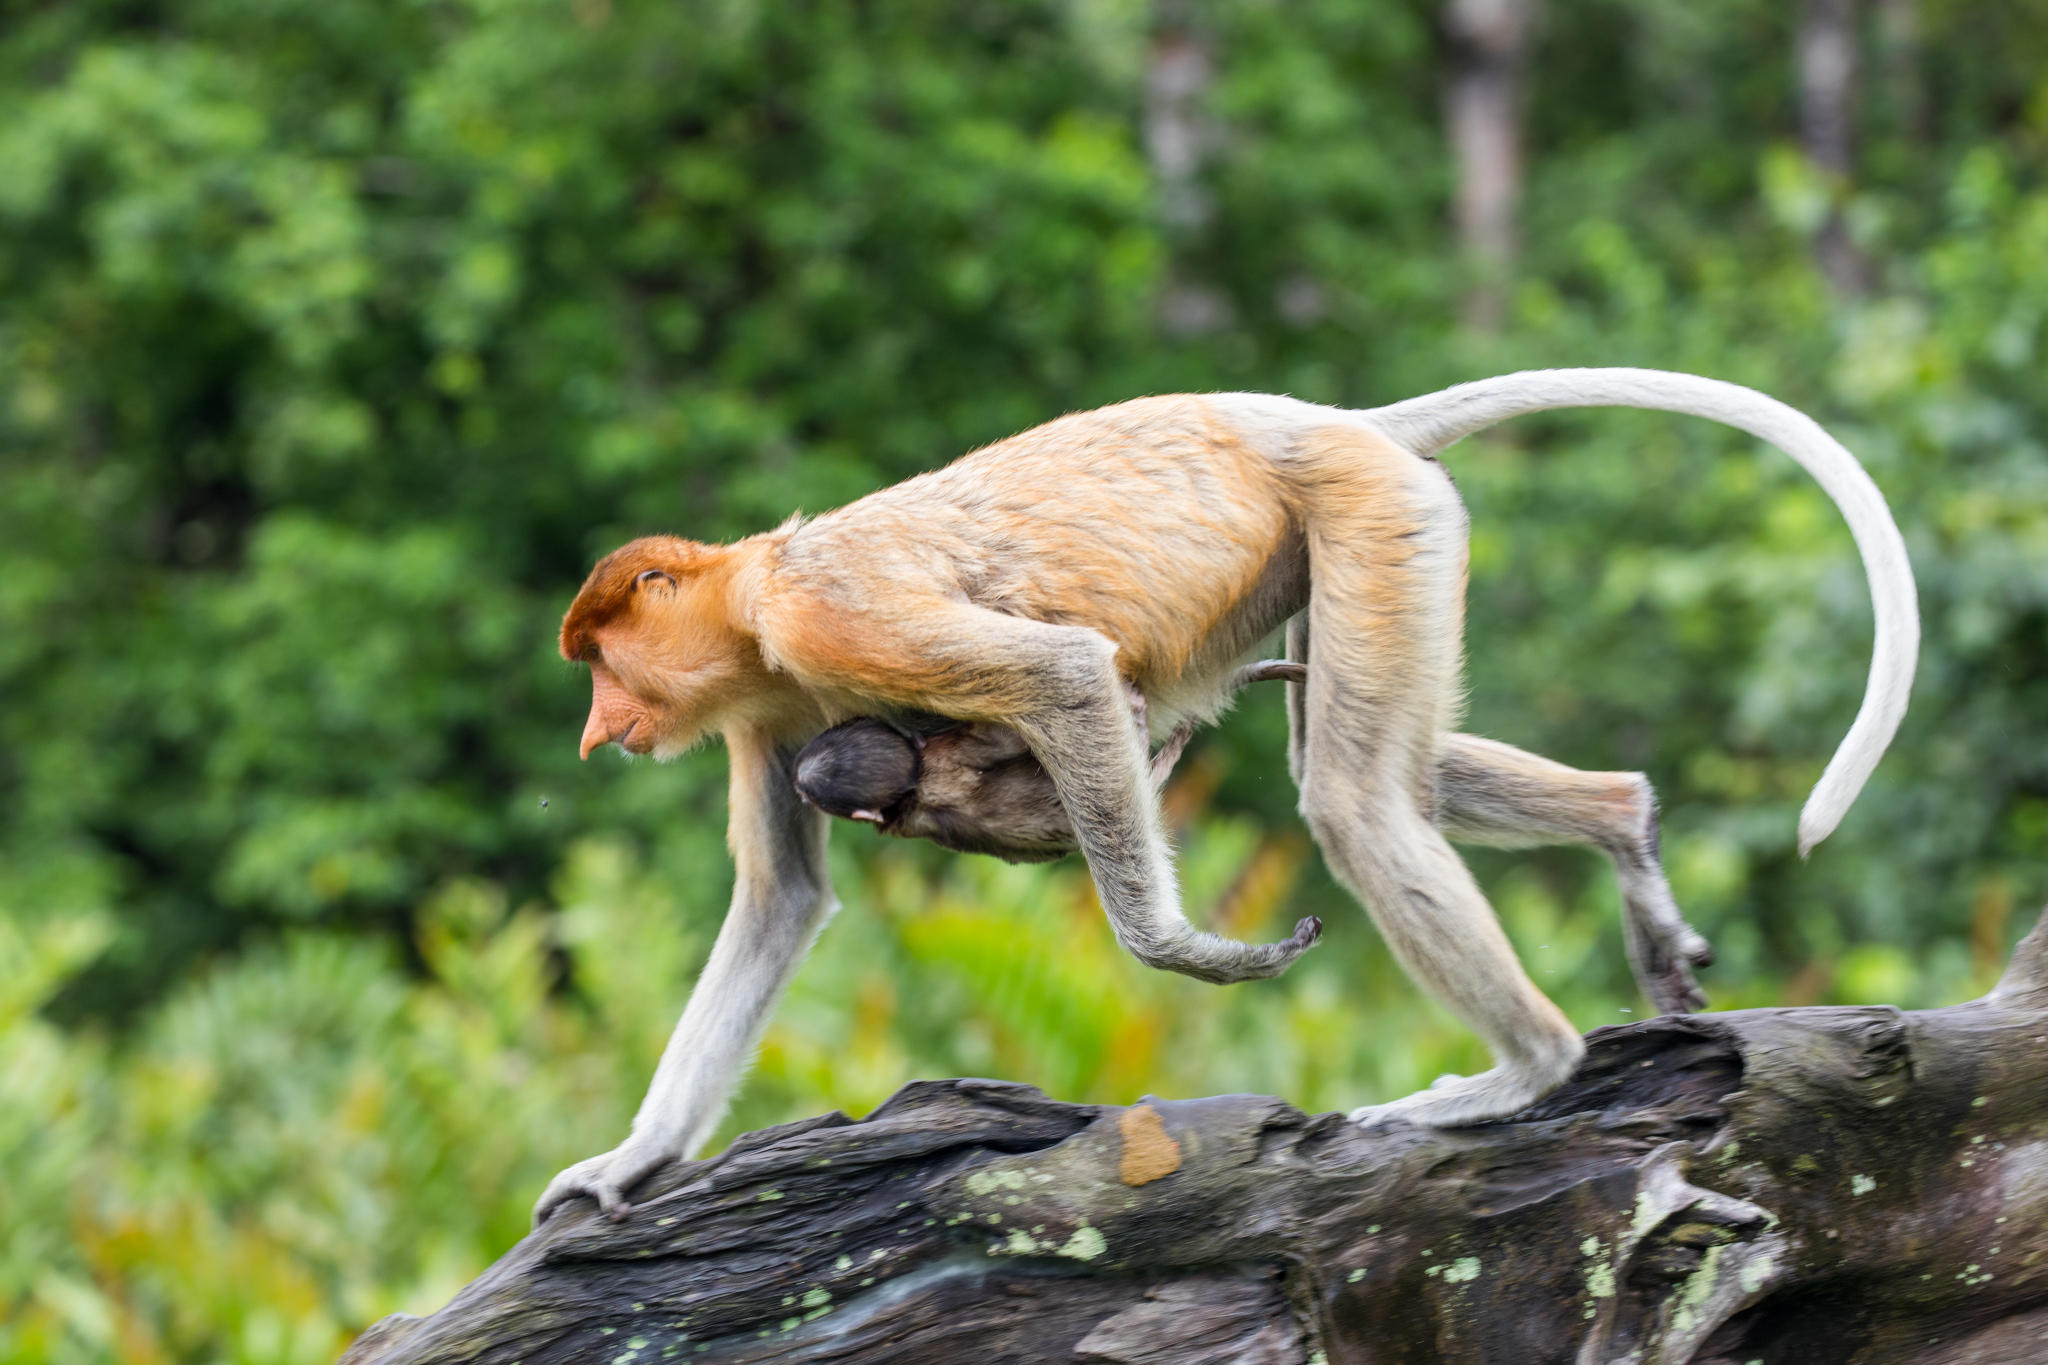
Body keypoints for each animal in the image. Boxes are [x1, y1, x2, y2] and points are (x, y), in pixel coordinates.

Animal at [536, 368, 1908, 1219]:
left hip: (1369, 513)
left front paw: (1189, 948)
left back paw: (1521, 1071)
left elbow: (1065, 677)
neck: (750, 593)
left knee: (1351, 797)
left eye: (599, 658)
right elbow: (780, 897)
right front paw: (622, 1168)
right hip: (1340, 549)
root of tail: (1325, 418)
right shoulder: (769, 710)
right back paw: (1627, 830)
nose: (596, 729)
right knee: (1378, 769)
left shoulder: (826, 619)